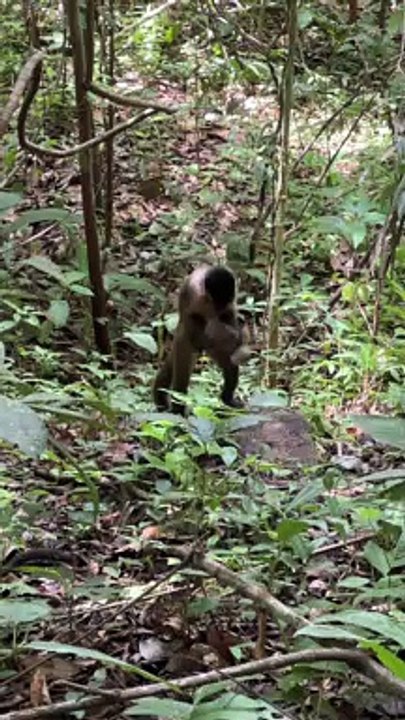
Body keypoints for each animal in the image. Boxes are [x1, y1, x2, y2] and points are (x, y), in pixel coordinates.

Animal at [153, 265, 250, 415]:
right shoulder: (196, 295)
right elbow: (194, 317)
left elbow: (230, 316)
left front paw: (237, 332)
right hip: (184, 339)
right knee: (181, 378)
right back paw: (177, 411)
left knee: (229, 365)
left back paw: (227, 399)